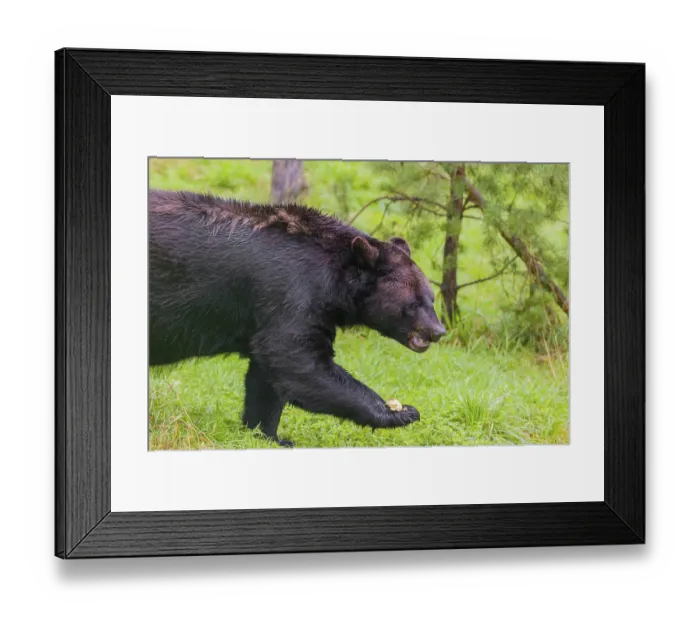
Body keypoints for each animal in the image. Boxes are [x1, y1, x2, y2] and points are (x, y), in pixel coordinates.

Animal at [148, 189, 446, 447]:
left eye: (431, 298)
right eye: (414, 302)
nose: (438, 330)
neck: (337, 280)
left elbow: (266, 378)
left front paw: (271, 436)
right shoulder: (292, 291)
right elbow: (296, 358)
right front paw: (398, 412)